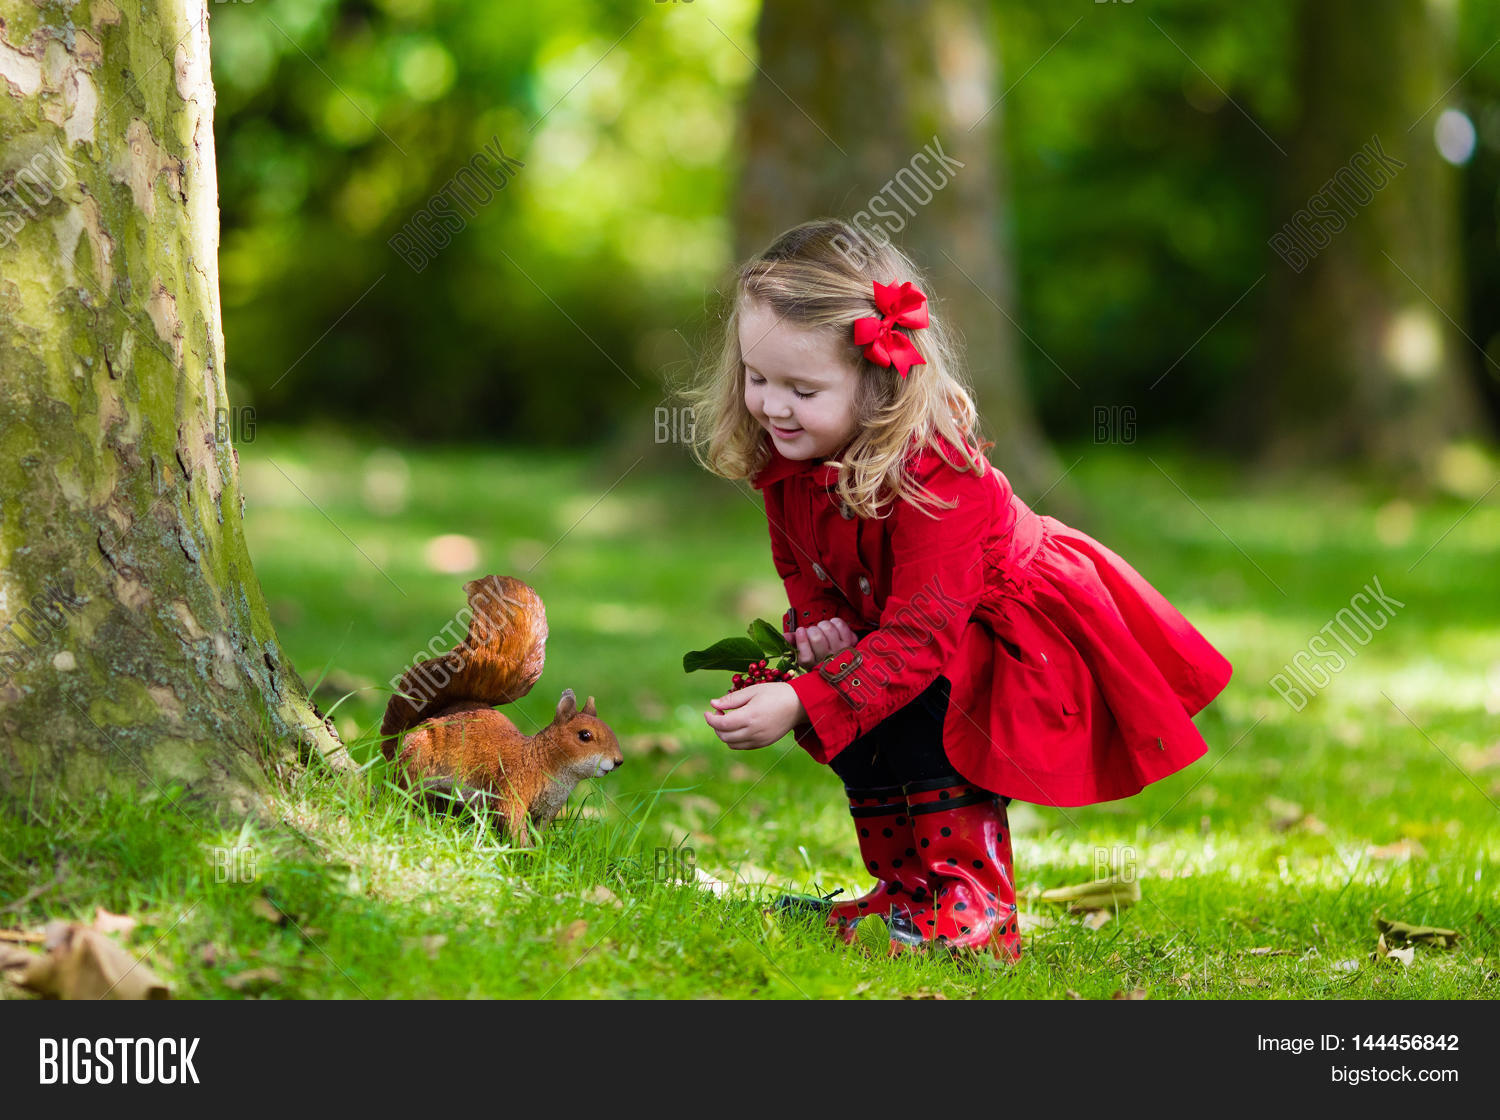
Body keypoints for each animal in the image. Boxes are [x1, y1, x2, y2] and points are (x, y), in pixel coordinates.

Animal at [379, 574, 623, 845]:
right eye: (585, 735)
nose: (618, 761)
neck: (543, 762)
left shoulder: (547, 809)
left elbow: (540, 830)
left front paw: (541, 849)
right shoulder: (511, 789)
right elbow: (512, 821)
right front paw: (525, 849)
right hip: (416, 766)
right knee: (400, 794)